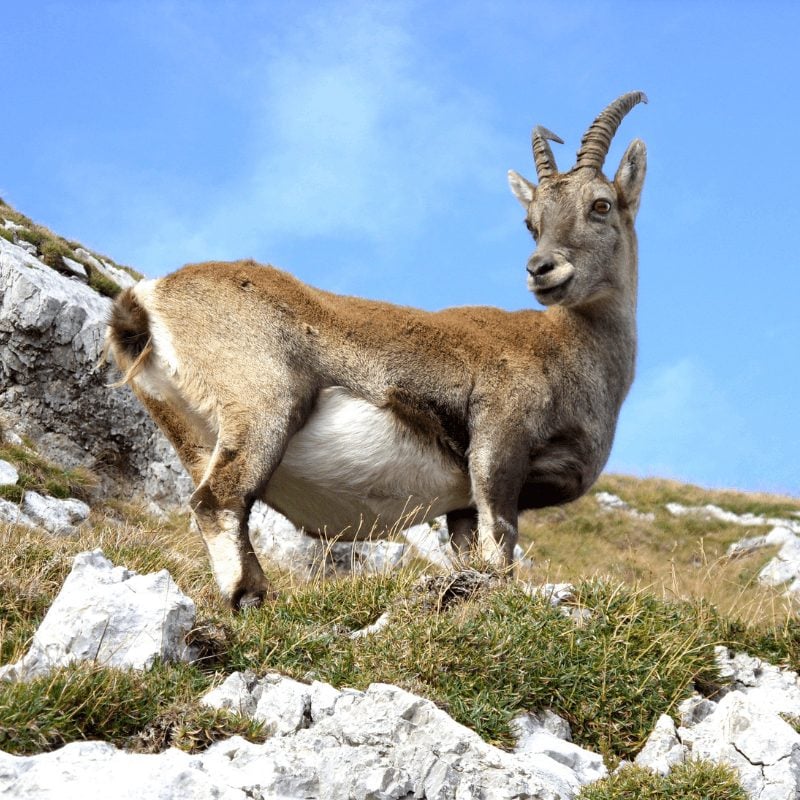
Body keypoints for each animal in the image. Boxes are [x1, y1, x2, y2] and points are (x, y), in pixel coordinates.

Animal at [106, 91, 647, 610]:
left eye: (600, 205)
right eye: (531, 221)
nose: (541, 269)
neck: (569, 350)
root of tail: (149, 298)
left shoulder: (462, 503)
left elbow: (470, 551)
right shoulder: (498, 443)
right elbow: (501, 542)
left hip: (190, 432)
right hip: (264, 403)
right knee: (218, 500)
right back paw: (252, 598)